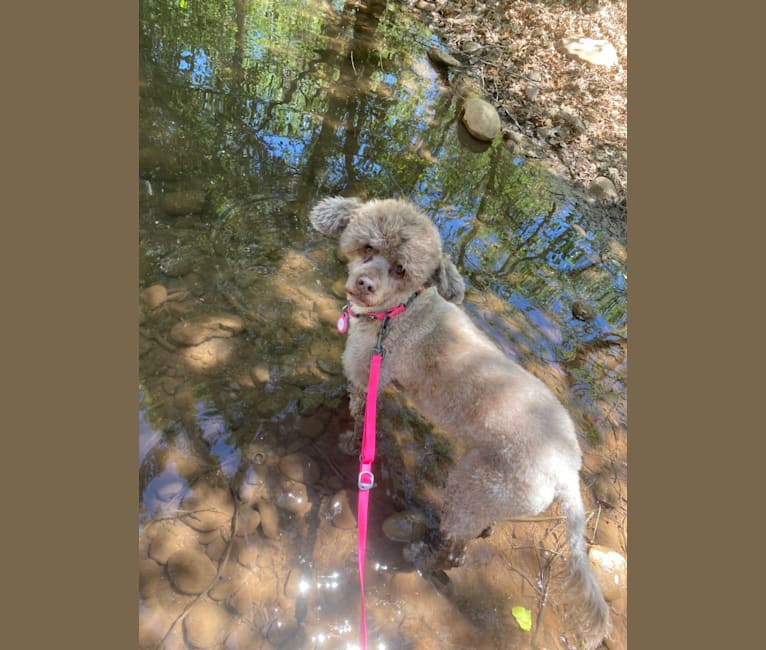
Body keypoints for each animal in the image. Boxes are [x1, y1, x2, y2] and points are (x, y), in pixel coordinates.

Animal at [308, 195, 616, 644]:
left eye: (401, 269)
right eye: (367, 247)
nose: (365, 285)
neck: (400, 311)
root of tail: (567, 471)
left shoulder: (366, 373)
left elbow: (356, 411)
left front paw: (349, 442)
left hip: (472, 484)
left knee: (454, 550)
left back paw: (420, 556)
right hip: (492, 496)